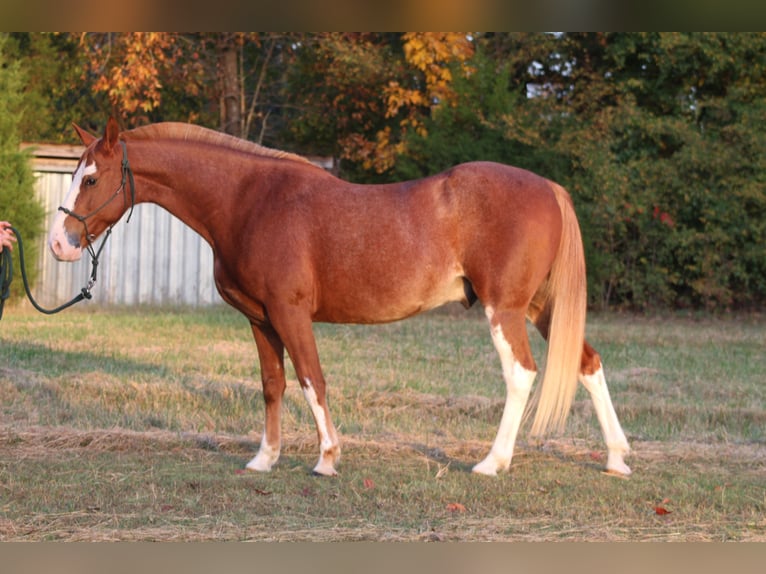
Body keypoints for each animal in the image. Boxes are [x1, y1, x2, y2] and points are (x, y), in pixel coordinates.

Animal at [49, 119, 636, 480]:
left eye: (92, 178)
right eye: (73, 174)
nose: (59, 244)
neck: (249, 201)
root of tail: (549, 188)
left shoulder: (290, 313)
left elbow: (312, 379)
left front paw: (327, 458)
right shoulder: (260, 320)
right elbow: (273, 385)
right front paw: (265, 459)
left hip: (506, 309)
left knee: (521, 375)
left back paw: (493, 462)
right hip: (541, 307)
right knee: (588, 363)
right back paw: (616, 458)